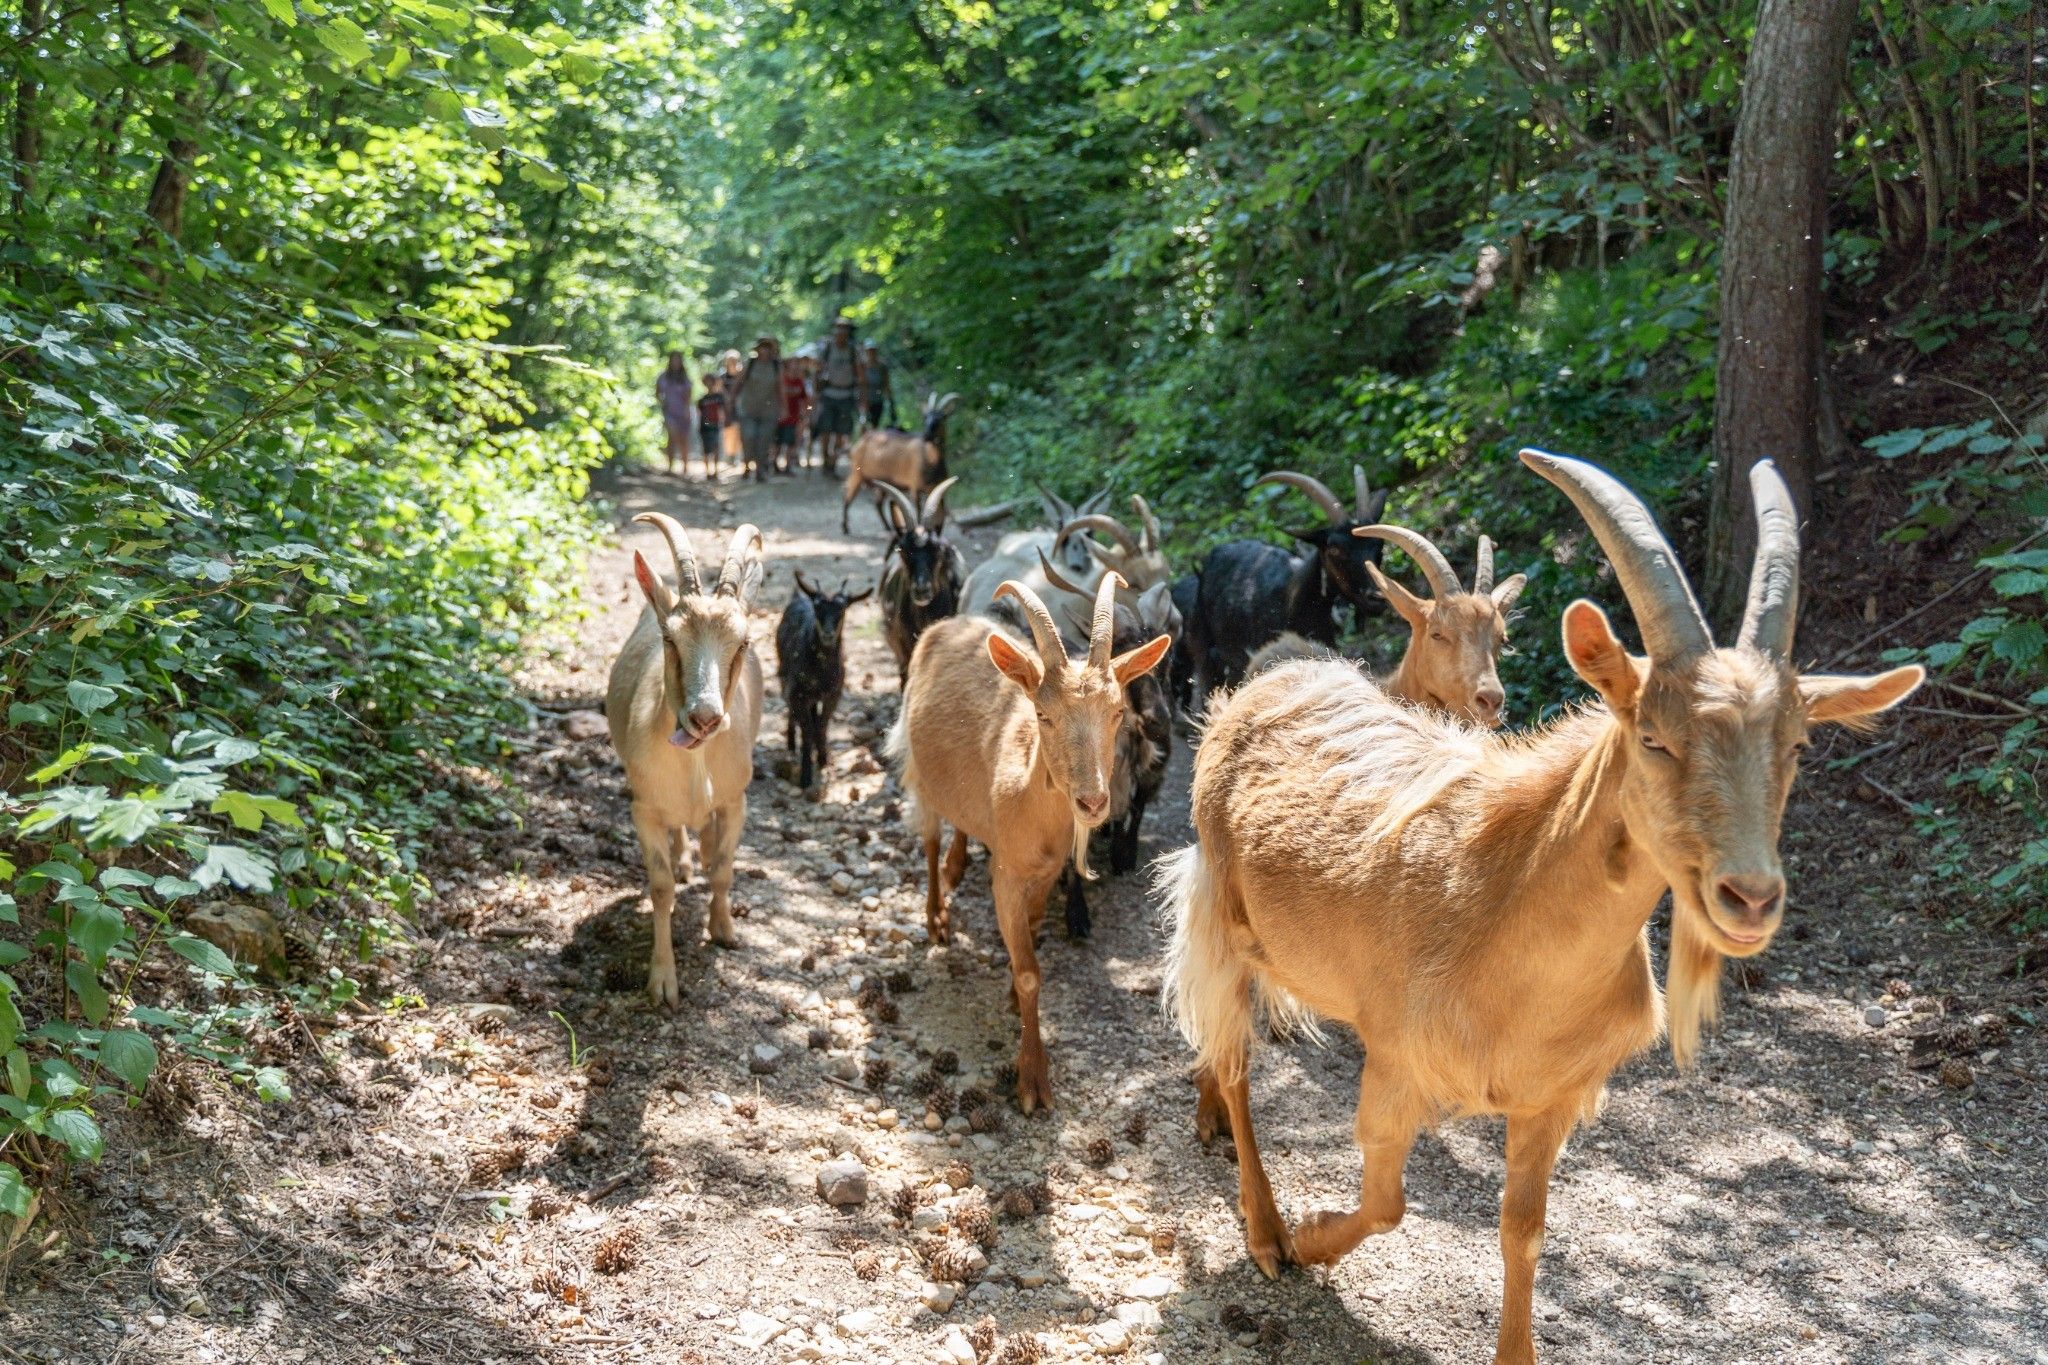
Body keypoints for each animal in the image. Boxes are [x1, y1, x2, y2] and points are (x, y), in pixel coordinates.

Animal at [607, 515, 768, 1006]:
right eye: (670, 639)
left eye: (743, 642)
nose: (704, 717)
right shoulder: (643, 810)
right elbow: (660, 889)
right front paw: (662, 982)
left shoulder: (737, 801)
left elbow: (723, 872)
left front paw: (724, 930)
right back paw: (683, 859)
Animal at [775, 571, 872, 793]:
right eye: (818, 606)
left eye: (842, 608)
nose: (828, 633)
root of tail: (798, 597)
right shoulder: (797, 694)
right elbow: (808, 729)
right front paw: (805, 777)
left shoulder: (833, 694)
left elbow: (821, 724)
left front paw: (822, 758)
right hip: (786, 681)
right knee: (792, 712)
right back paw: (791, 745)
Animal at [840, 390, 958, 532]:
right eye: (925, 417)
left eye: (941, 418)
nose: (926, 436)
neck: (931, 461)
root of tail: (860, 441)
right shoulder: (915, 487)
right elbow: (918, 513)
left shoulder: (938, 489)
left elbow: (938, 517)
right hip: (857, 473)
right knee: (847, 495)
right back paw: (845, 527)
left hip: (881, 481)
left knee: (877, 502)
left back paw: (888, 527)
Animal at [889, 575, 1170, 1111]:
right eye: (1043, 713)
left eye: (1117, 712)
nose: (1092, 801)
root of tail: (949, 622)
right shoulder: (1007, 875)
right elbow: (1030, 973)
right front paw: (1033, 1081)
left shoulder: (1044, 873)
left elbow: (1033, 935)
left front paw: (1011, 995)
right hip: (919, 770)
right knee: (930, 838)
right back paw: (937, 917)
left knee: (961, 826)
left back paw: (957, 865)